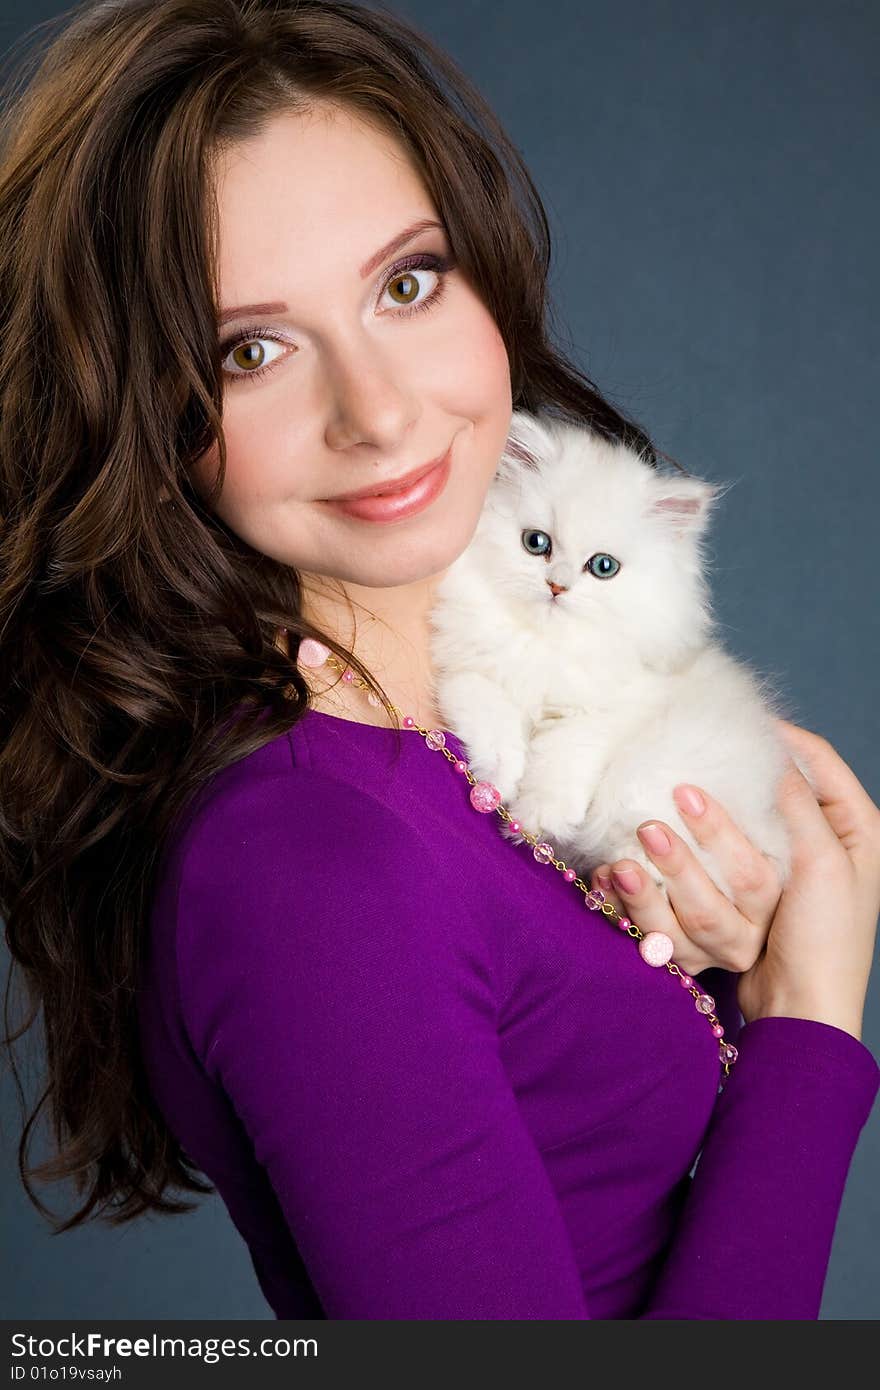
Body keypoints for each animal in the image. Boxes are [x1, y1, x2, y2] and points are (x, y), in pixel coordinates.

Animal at [425, 405, 811, 895]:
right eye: (536, 543)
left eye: (603, 567)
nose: (557, 586)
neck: (546, 646)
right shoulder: (467, 672)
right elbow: (495, 724)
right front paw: (499, 782)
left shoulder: (611, 711)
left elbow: (562, 757)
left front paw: (535, 817)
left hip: (656, 774)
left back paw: (638, 868)